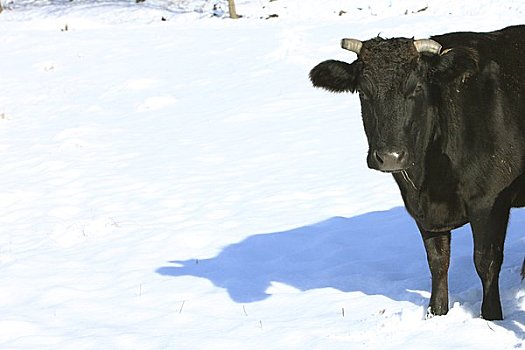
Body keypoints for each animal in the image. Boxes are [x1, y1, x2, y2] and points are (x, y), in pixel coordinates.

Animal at [308, 24, 524, 320]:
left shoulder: (489, 201)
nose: (390, 157)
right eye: (363, 92)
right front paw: (437, 313)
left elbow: (486, 261)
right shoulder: (423, 212)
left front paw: (491, 317)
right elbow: (437, 261)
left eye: (417, 88)